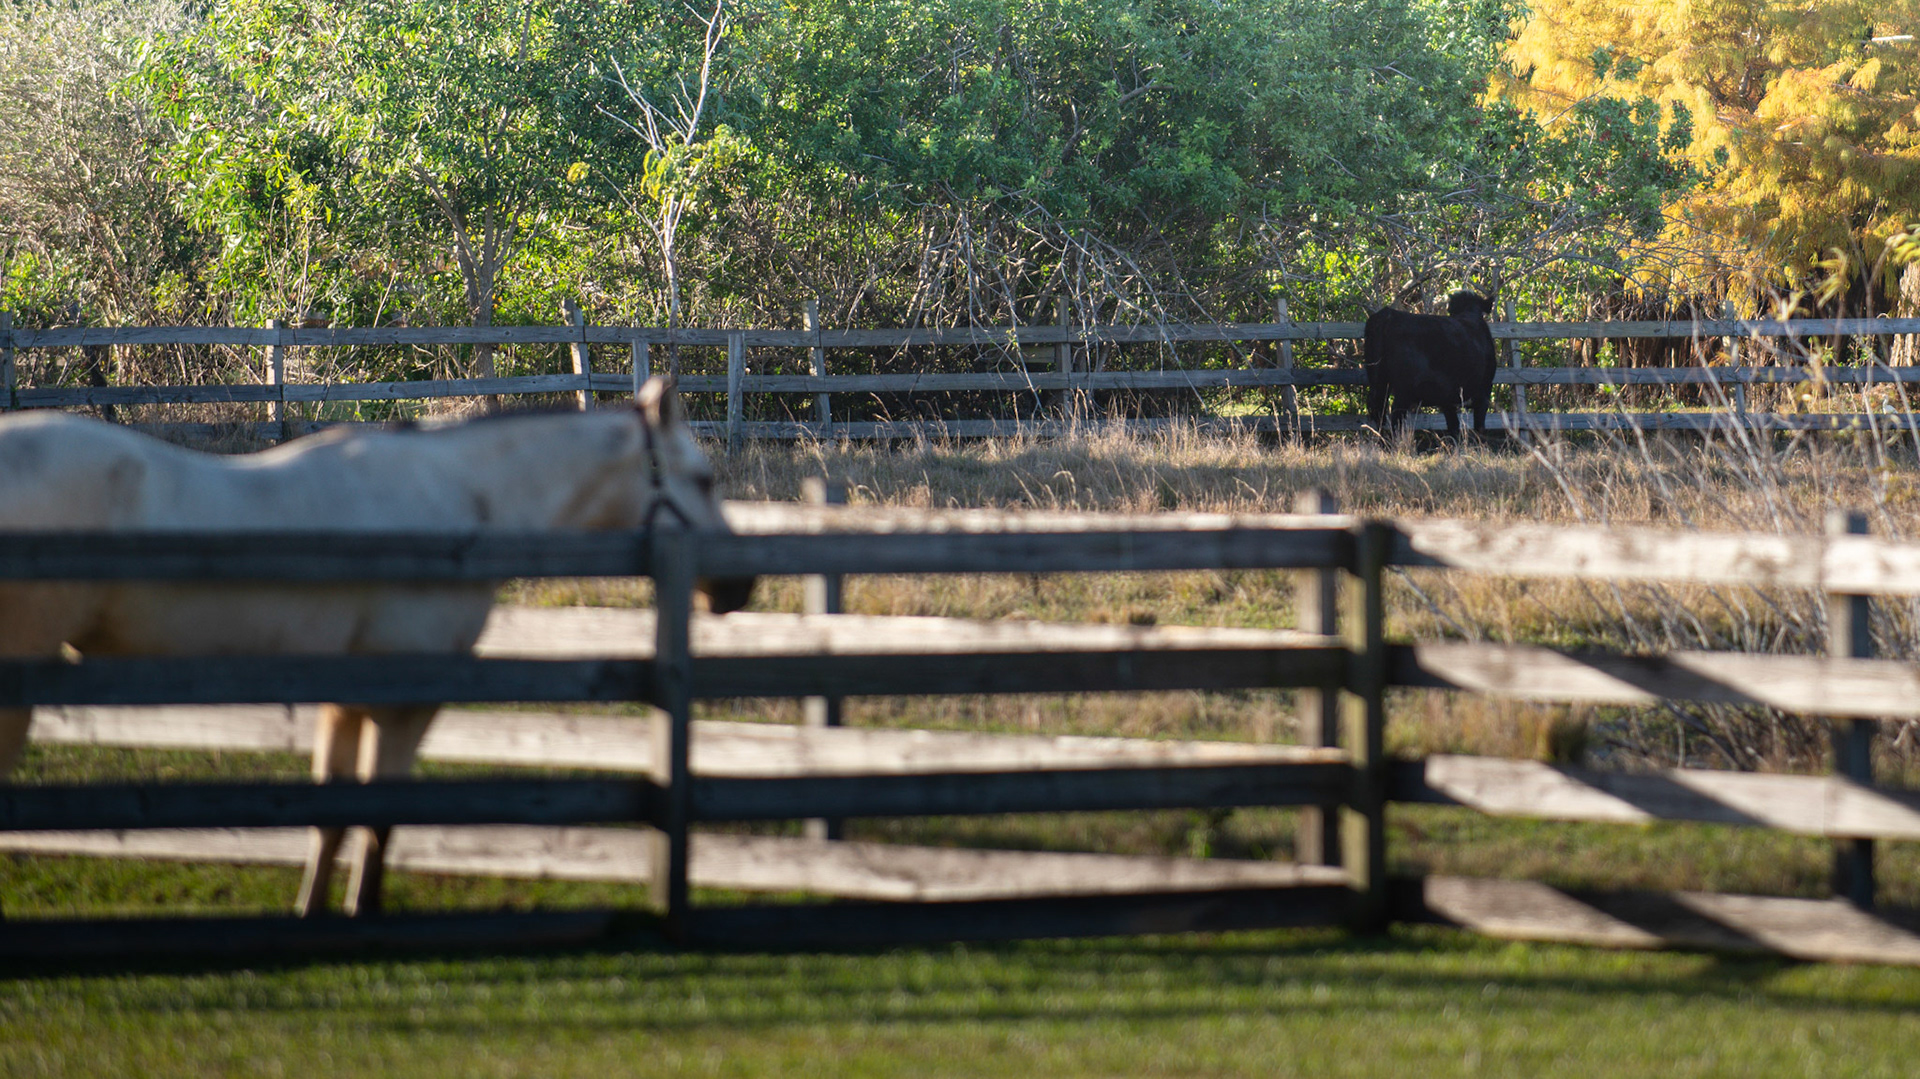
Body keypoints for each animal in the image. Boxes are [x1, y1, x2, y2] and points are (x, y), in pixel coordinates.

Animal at [1363, 291, 1499, 445]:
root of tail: (1388, 314)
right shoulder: (1484, 391)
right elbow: (1478, 426)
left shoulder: (1447, 397)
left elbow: (1453, 426)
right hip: (1404, 388)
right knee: (1396, 416)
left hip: (1379, 382)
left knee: (1379, 412)